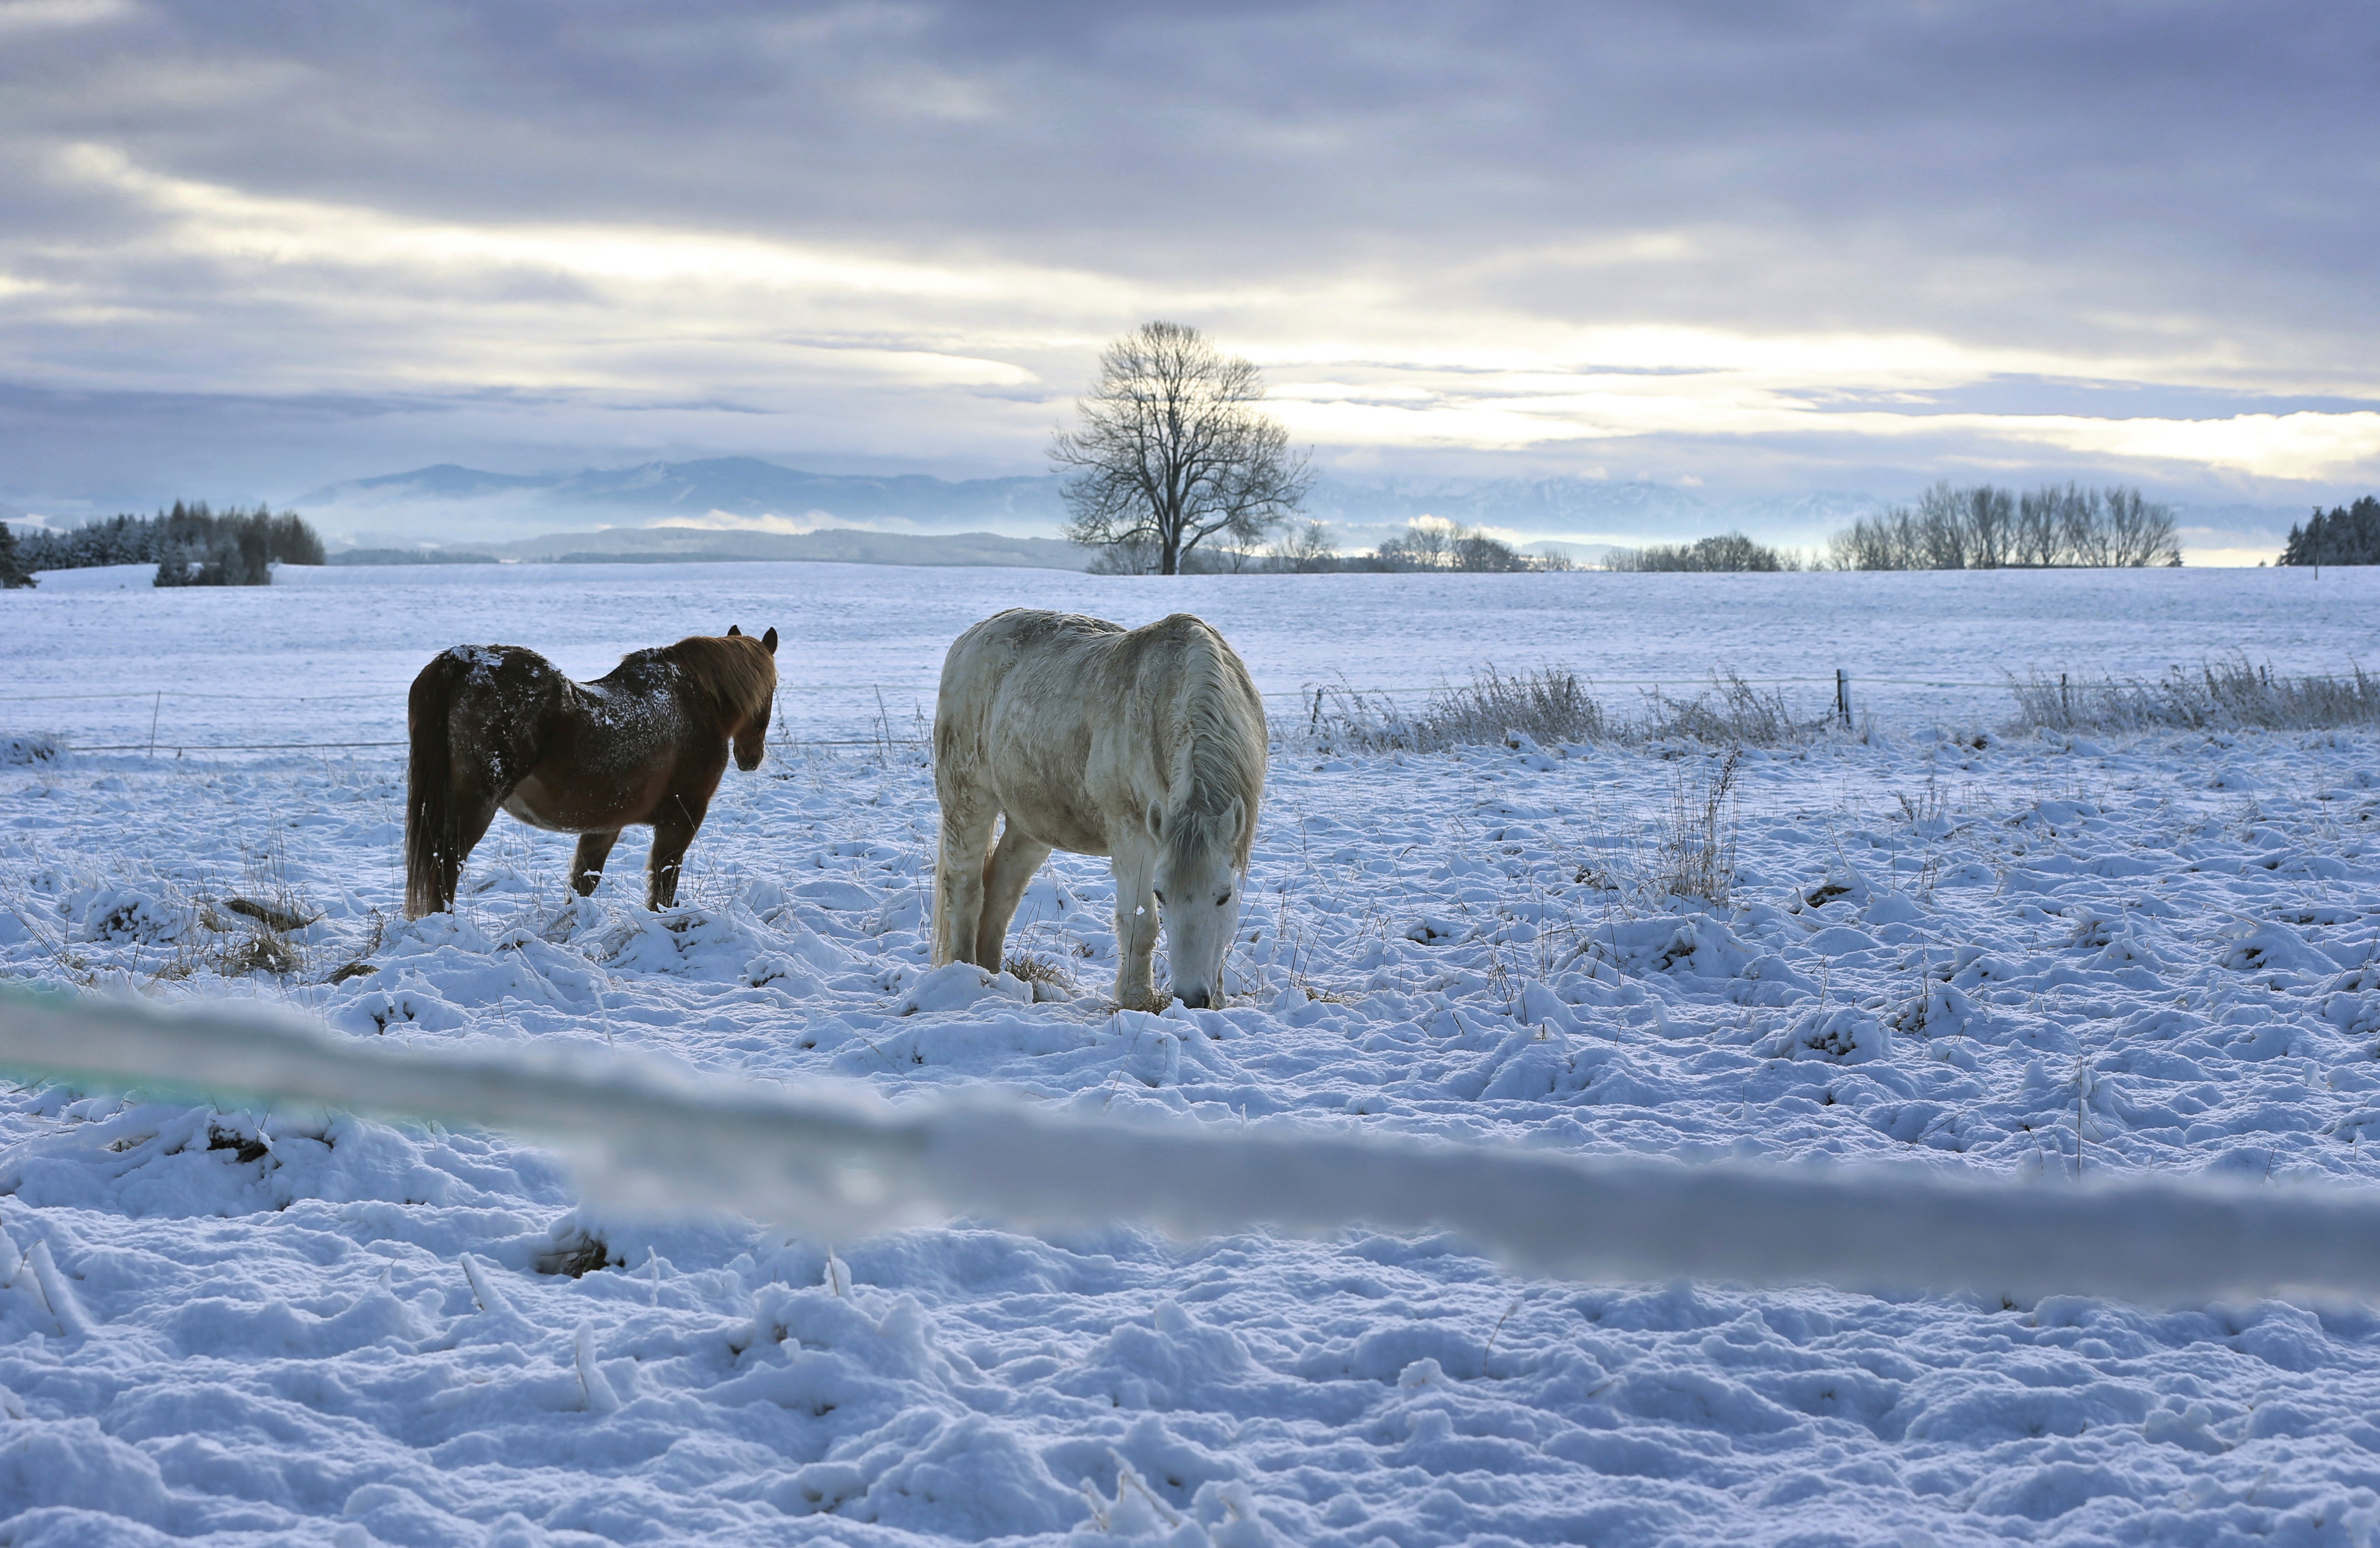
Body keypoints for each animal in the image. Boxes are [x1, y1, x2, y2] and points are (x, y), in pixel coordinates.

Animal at [405, 628, 781, 922]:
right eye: (772, 689)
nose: (751, 758)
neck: (694, 702)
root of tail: (463, 659)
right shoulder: (681, 819)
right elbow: (664, 883)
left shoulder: (605, 825)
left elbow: (583, 883)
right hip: (477, 804)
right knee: (447, 861)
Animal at [923, 613, 1266, 1013]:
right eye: (1161, 895)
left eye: (1224, 896)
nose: (1192, 999)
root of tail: (972, 636)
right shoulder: (1133, 835)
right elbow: (1140, 926)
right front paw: (1136, 999)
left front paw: (1222, 999)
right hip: (968, 800)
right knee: (965, 887)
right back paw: (969, 975)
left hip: (1031, 823)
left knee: (1002, 890)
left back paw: (995, 977)